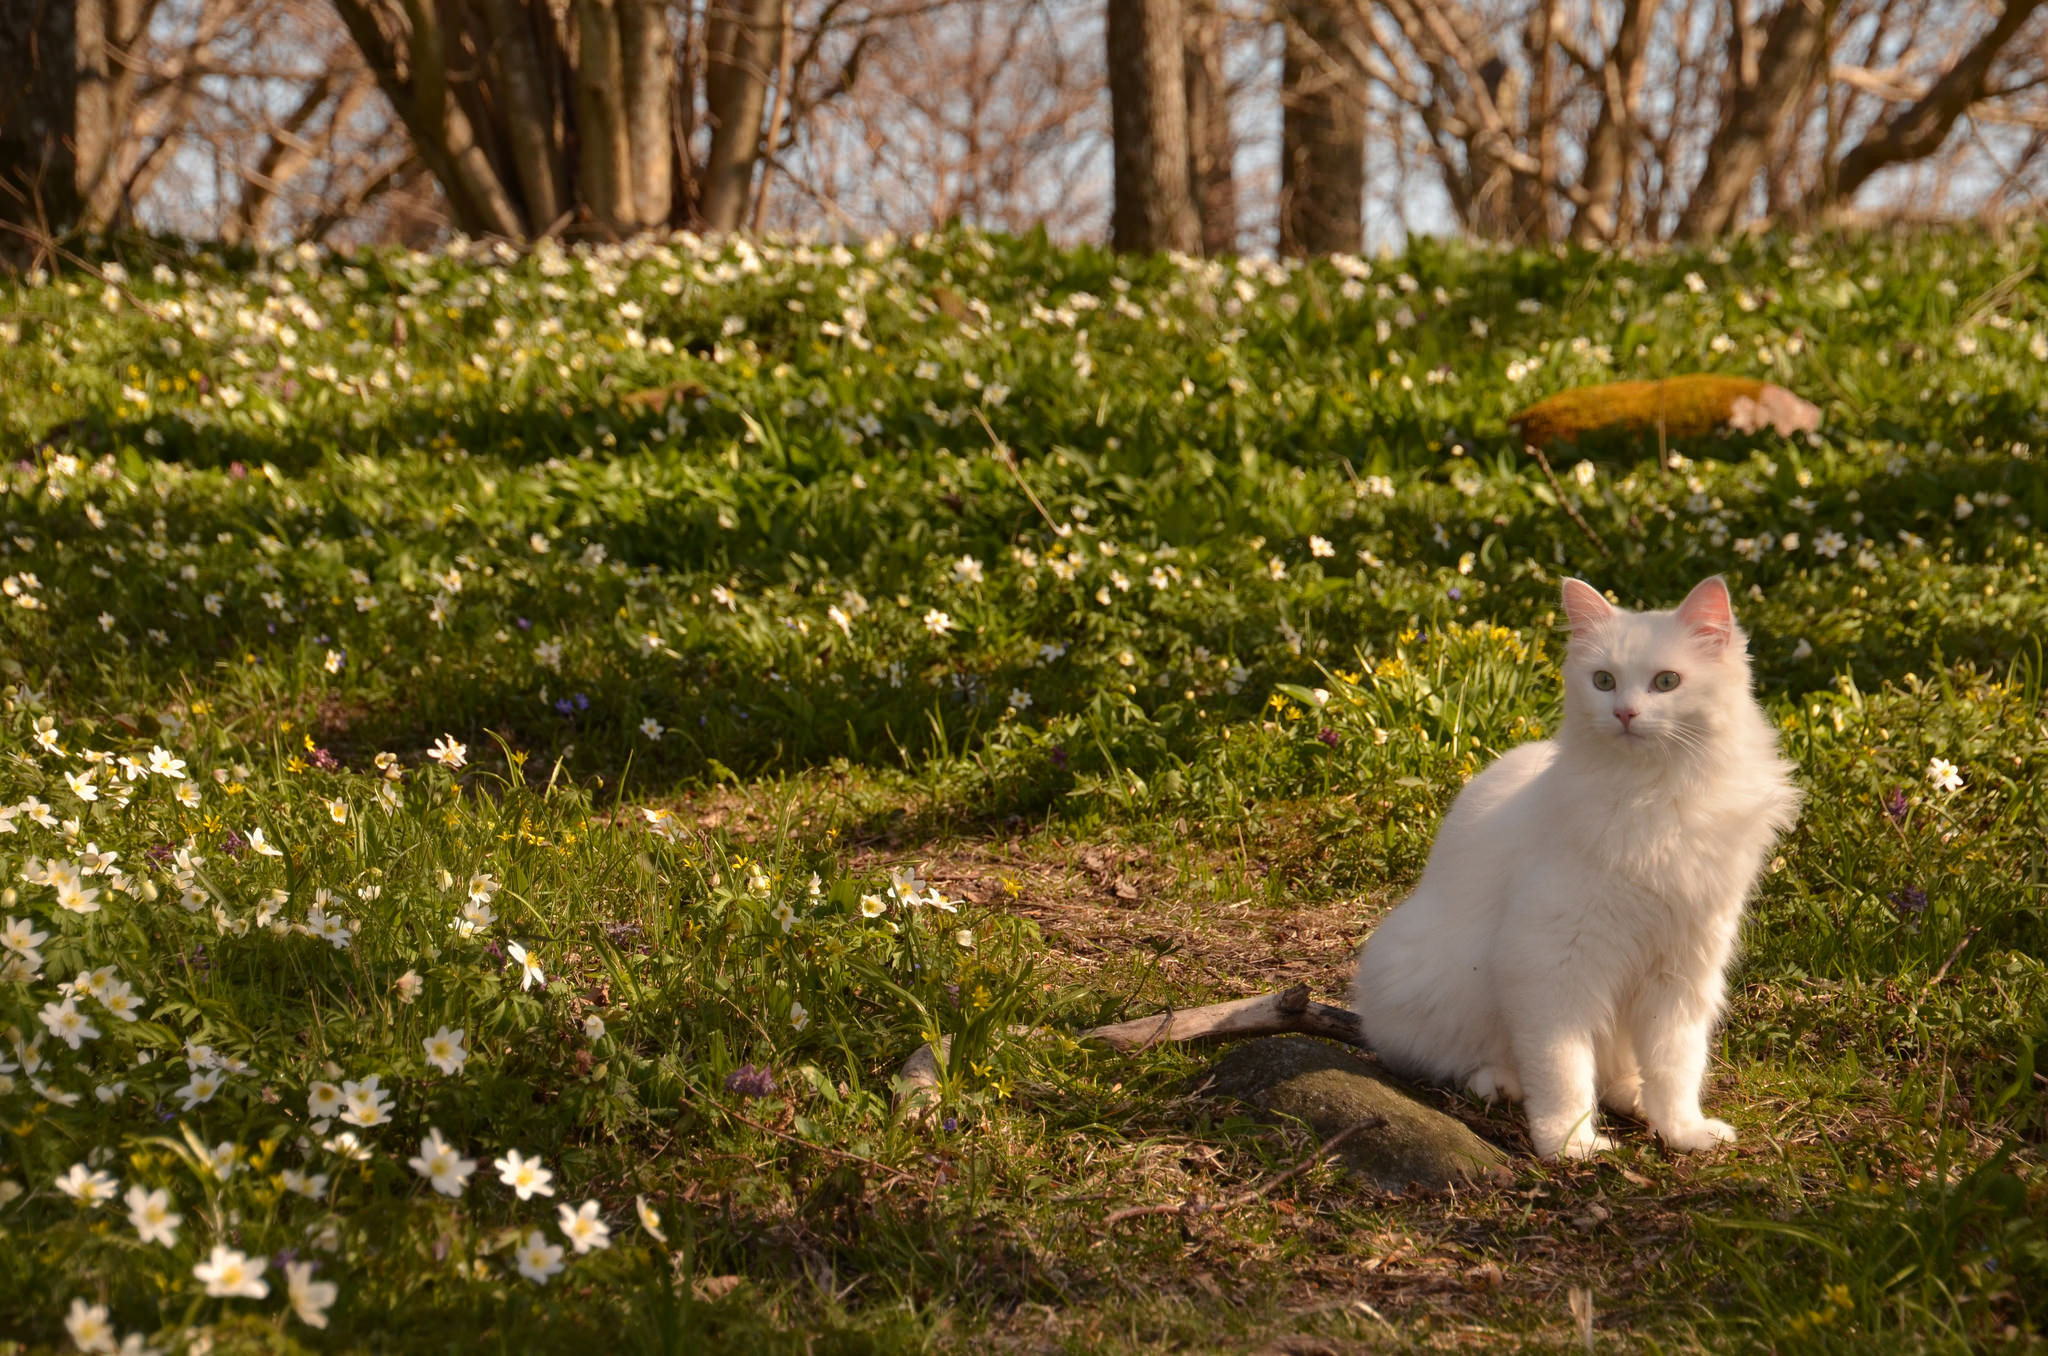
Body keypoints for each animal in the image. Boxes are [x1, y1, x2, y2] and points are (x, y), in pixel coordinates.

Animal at [1351, 577, 1802, 1163]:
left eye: (1666, 682)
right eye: (1603, 681)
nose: (1625, 714)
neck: (1656, 797)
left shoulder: (1681, 970)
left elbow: (1676, 1066)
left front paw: (1683, 1132)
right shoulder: (1552, 962)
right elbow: (1562, 1068)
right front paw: (1569, 1144)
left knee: (1620, 1076)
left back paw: (1634, 1099)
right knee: (1455, 1059)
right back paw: (1501, 1085)